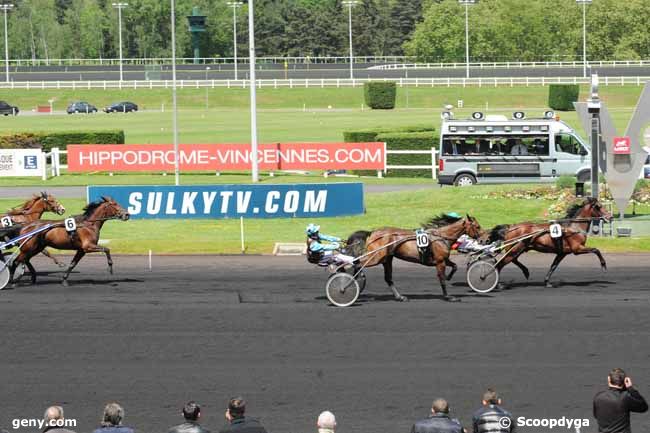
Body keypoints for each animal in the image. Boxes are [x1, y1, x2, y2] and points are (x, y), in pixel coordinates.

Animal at [344, 214, 480, 302]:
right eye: (477, 226)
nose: (482, 238)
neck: (441, 237)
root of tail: (372, 233)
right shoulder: (440, 262)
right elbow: (441, 279)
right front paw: (448, 297)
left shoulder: (443, 260)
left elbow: (455, 266)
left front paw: (449, 277)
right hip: (376, 257)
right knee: (357, 263)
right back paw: (348, 283)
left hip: (386, 259)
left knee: (388, 278)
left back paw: (400, 297)